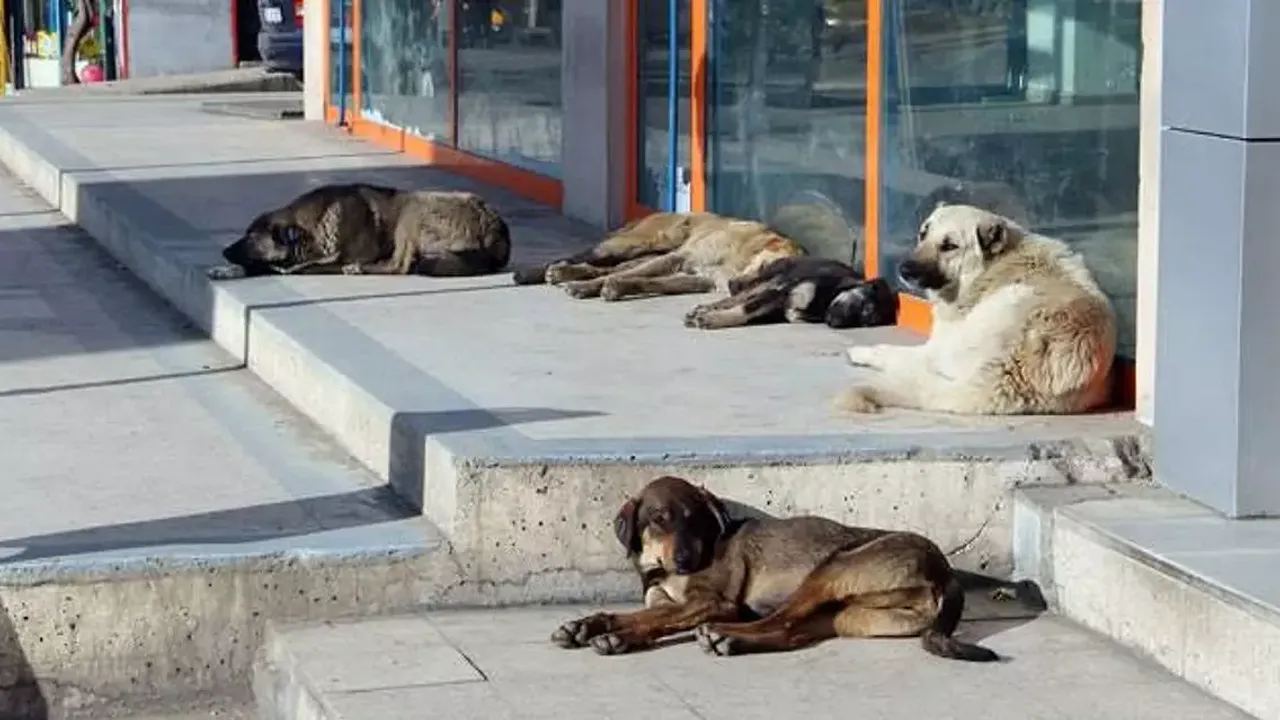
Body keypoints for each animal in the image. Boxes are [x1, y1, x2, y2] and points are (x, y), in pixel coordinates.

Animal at [206, 180, 509, 279]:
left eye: (251, 237)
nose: (224, 251)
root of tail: (495, 225)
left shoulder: (329, 259)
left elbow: (297, 267)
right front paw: (225, 270)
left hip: (411, 212)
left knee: (399, 266)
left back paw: (361, 269)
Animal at [550, 474, 998, 661]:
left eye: (695, 520)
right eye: (658, 519)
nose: (686, 560)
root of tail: (945, 570)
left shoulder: (714, 602)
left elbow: (650, 621)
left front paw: (615, 636)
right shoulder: (665, 601)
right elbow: (643, 616)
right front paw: (589, 625)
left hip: (831, 569)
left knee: (780, 621)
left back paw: (722, 637)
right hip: (846, 616)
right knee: (790, 633)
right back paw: (732, 643)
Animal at [555, 213, 803, 301]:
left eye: (769, 283)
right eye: (763, 268)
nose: (734, 288)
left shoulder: (701, 279)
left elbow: (647, 281)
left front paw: (618, 287)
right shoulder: (681, 258)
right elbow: (627, 275)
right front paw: (585, 287)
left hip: (648, 253)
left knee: (616, 267)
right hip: (643, 242)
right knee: (596, 256)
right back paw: (560, 269)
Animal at [680, 254, 901, 327]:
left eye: (866, 322)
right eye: (865, 308)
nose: (836, 323)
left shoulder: (780, 305)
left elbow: (749, 311)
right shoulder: (782, 293)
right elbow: (746, 309)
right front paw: (714, 319)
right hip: (772, 280)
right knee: (738, 297)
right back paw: (707, 309)